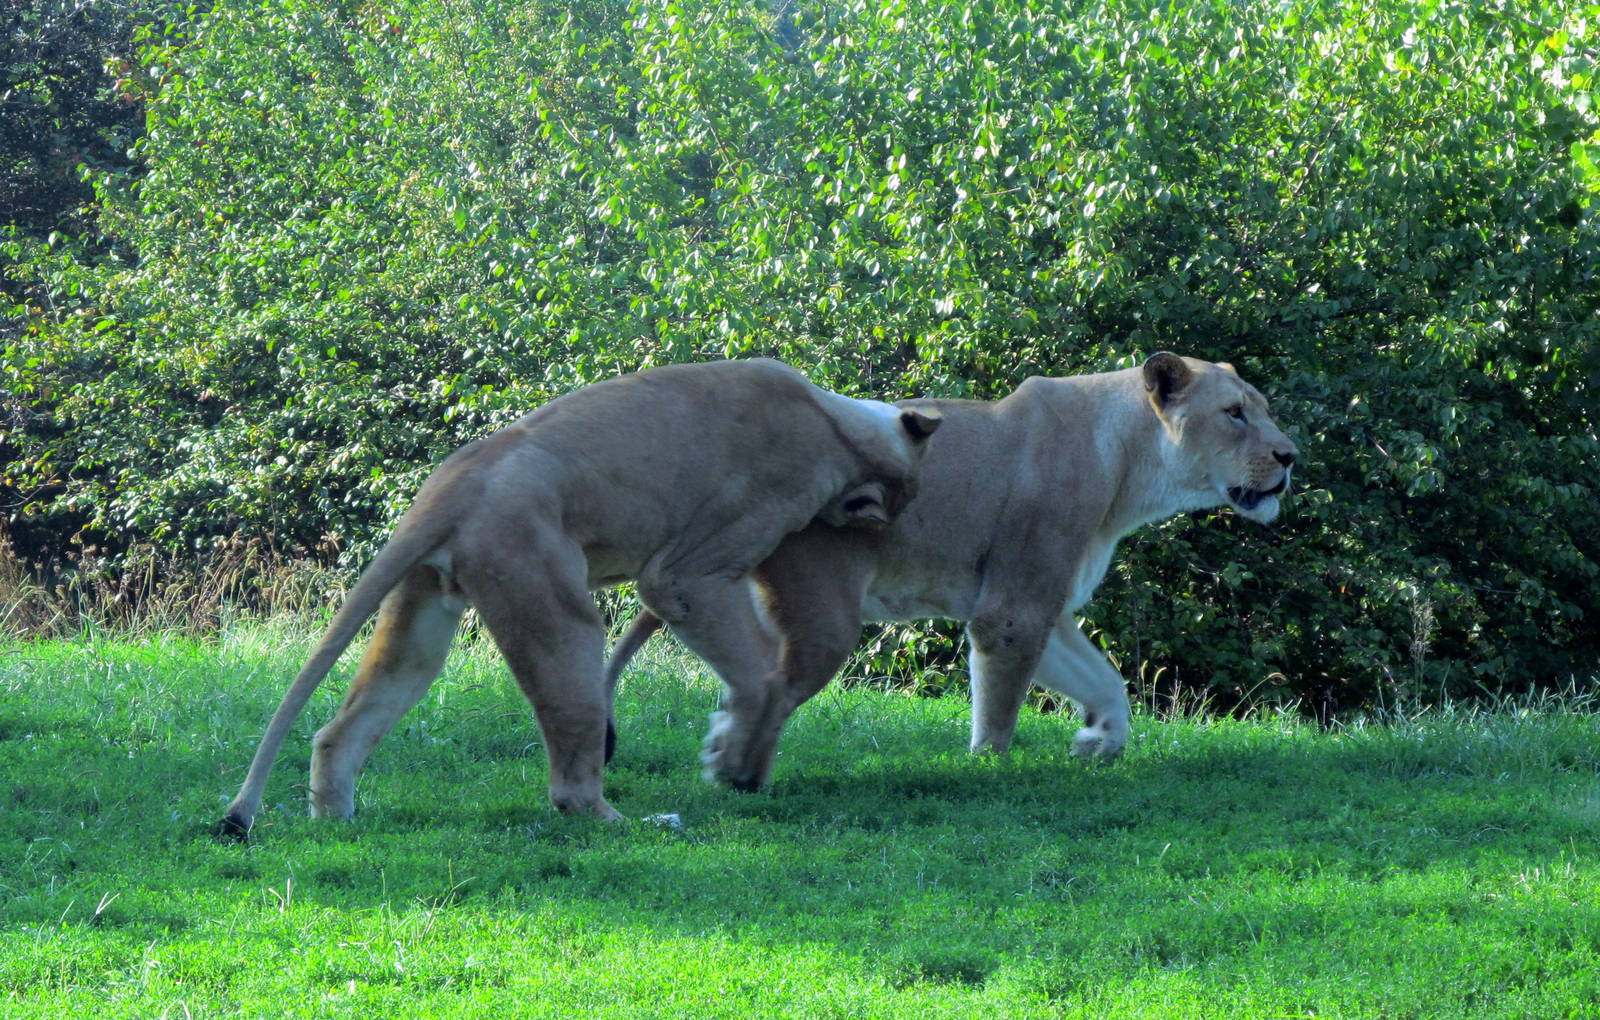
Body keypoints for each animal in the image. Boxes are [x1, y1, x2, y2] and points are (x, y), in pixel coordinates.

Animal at [217, 359, 941, 837]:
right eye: (899, 494)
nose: (891, 515)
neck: (836, 419)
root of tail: (454, 482)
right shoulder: (692, 567)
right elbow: (759, 671)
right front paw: (738, 757)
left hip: (421, 617)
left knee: (342, 728)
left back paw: (334, 819)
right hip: (554, 607)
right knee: (569, 780)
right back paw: (637, 822)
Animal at [605, 353, 1297, 790]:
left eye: (1262, 408)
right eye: (1235, 413)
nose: (1291, 455)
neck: (1129, 465)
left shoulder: (1043, 605)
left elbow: (1107, 682)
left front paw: (1099, 741)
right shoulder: (1011, 611)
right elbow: (1000, 708)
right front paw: (987, 769)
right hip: (822, 608)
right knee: (771, 685)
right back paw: (734, 769)